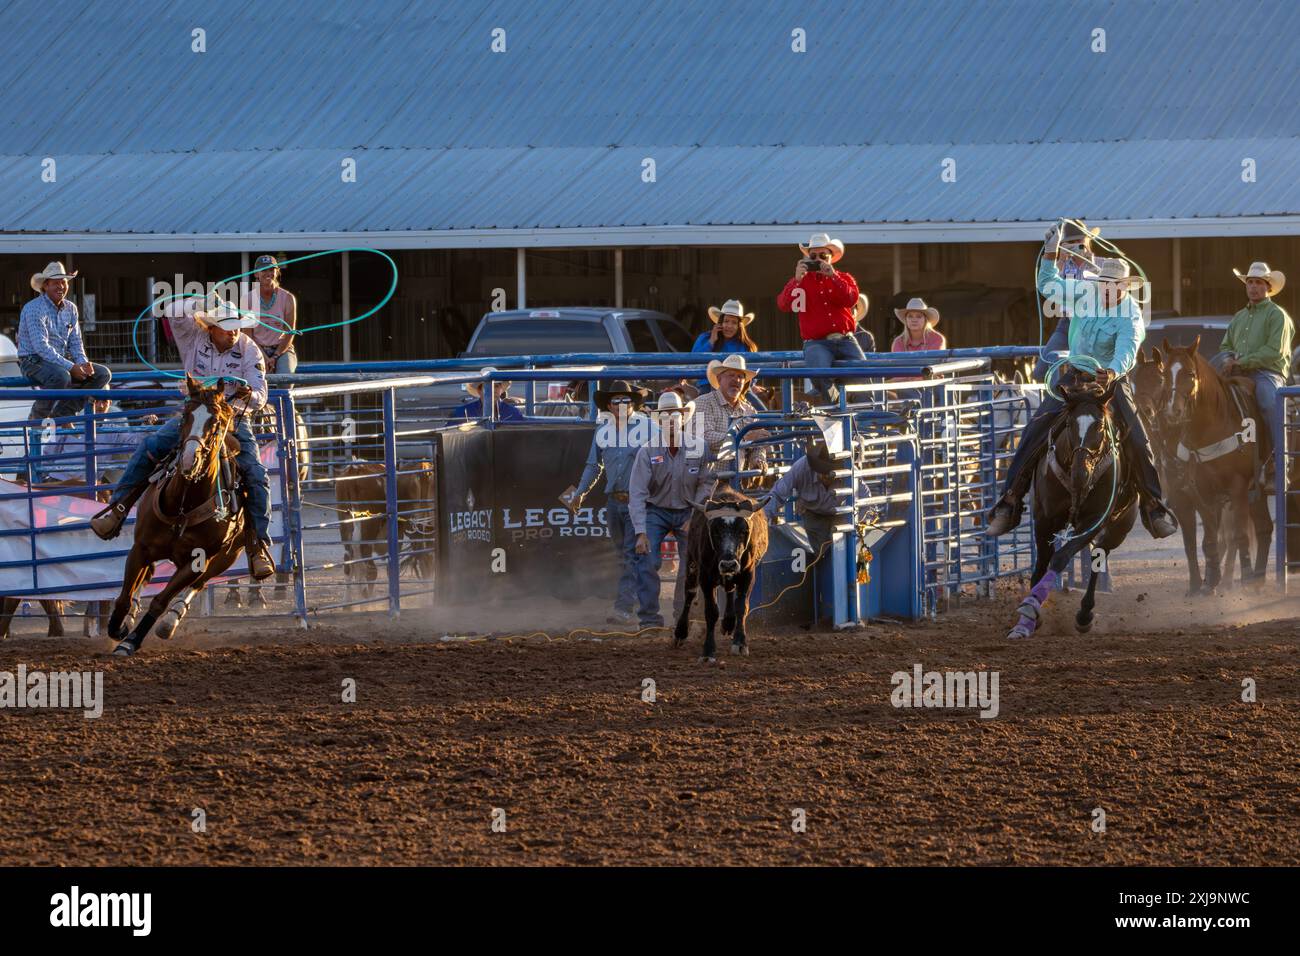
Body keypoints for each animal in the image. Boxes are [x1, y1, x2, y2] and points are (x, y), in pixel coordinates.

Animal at [109, 382, 250, 658]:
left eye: (216, 422)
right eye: (185, 416)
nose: (188, 460)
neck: (184, 503)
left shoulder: (196, 563)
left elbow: (160, 601)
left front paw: (130, 641)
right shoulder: (141, 548)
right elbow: (124, 596)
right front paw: (119, 627)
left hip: (226, 557)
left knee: (199, 585)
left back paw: (170, 622)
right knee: (147, 576)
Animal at [1159, 335, 1268, 590]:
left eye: (1190, 373)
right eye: (1165, 373)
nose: (1173, 411)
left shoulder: (1238, 489)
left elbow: (1239, 536)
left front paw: (1243, 578)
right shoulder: (1200, 491)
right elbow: (1206, 539)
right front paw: (1209, 583)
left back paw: (1252, 579)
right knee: (1265, 528)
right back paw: (1258, 578)